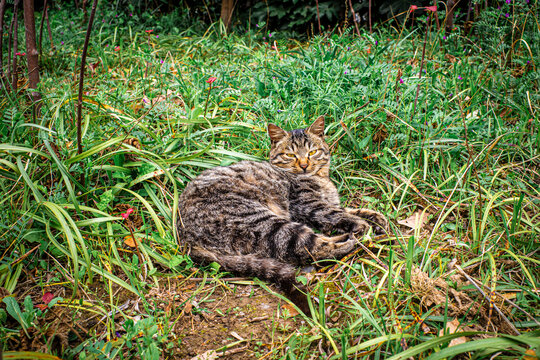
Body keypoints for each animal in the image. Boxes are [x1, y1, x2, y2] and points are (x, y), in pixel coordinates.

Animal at [178, 116, 388, 314]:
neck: (320, 178)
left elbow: (352, 210)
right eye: (290, 155)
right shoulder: (309, 205)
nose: (304, 165)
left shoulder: (329, 203)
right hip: (266, 223)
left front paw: (377, 218)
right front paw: (363, 225)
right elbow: (340, 214)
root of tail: (185, 239)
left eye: (312, 152)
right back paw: (353, 240)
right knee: (313, 249)